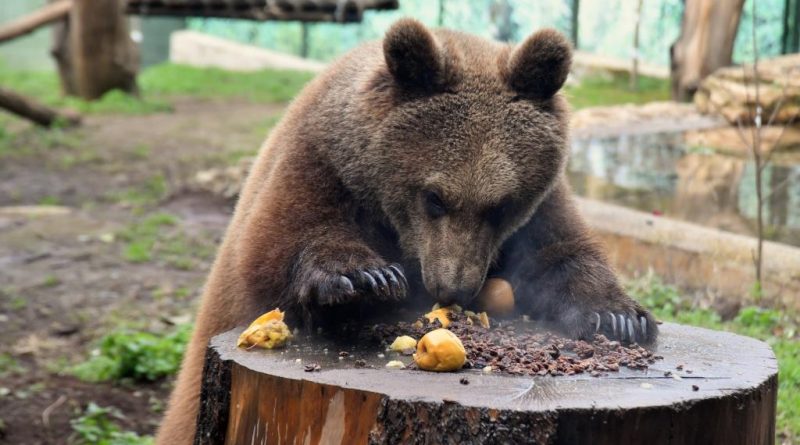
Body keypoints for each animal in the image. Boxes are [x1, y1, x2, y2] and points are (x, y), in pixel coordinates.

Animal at [155, 19, 656, 442]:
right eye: (434, 197)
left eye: (500, 206)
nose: (453, 287)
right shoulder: (319, 162)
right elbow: (279, 241)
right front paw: (365, 280)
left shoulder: (539, 210)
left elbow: (561, 253)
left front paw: (619, 317)